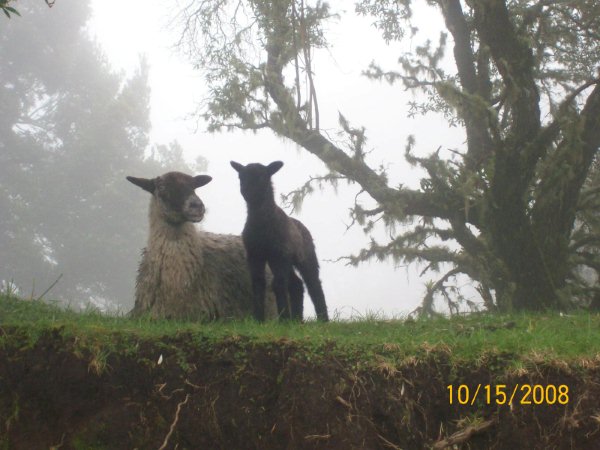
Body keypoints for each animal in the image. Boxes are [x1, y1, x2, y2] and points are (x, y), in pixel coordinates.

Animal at [231, 160, 332, 322]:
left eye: (263, 176)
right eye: (241, 177)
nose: (246, 191)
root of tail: (300, 224)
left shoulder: (279, 253)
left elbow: (278, 284)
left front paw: (283, 319)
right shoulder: (255, 254)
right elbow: (258, 283)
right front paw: (258, 319)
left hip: (304, 256)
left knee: (313, 284)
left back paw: (323, 319)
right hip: (282, 259)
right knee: (296, 284)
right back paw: (297, 319)